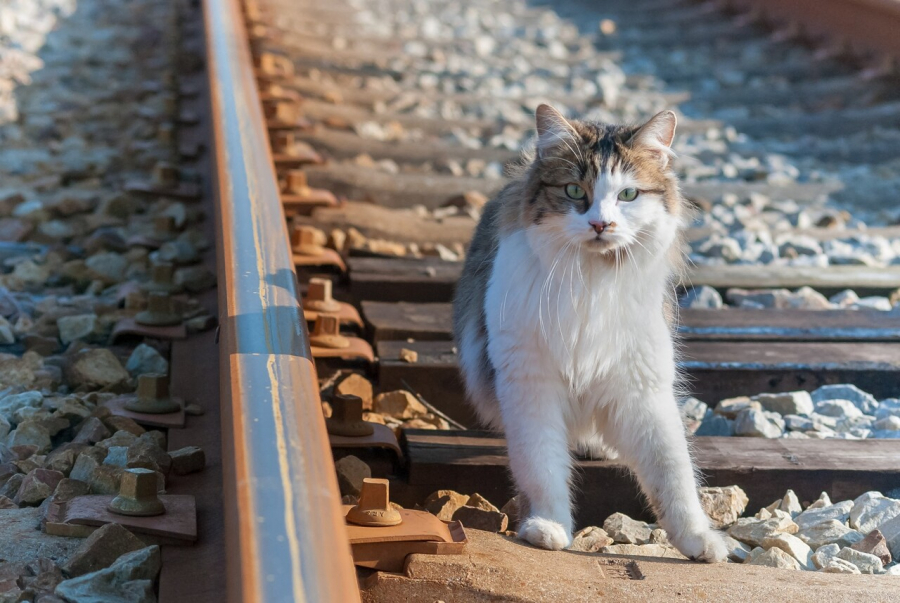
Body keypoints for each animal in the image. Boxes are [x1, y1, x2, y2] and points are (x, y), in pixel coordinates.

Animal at [454, 104, 728, 560]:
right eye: (573, 191)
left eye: (629, 195)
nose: (601, 224)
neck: (590, 280)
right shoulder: (530, 382)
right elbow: (541, 464)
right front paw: (547, 526)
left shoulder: (642, 388)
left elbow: (672, 472)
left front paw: (699, 539)